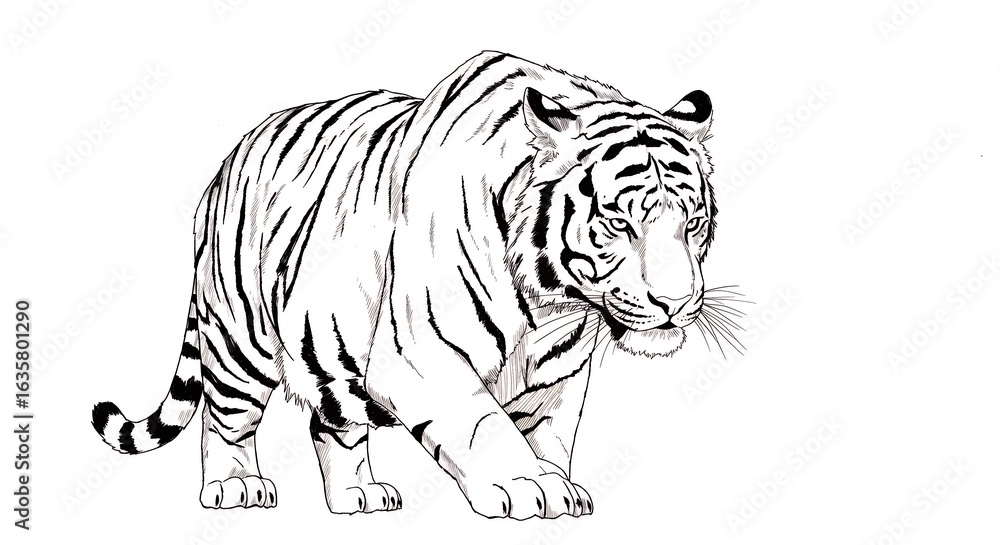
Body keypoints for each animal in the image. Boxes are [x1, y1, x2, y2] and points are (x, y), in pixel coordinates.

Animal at [91, 50, 719, 519]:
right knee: (224, 420)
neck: (554, 306)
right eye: (619, 222)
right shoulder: (422, 357)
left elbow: (548, 435)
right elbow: (484, 425)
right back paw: (235, 487)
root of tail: (224, 165)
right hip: (238, 341)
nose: (676, 303)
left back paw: (356, 496)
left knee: (330, 421)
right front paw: (524, 486)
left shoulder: (556, 378)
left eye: (693, 223)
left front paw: (556, 483)